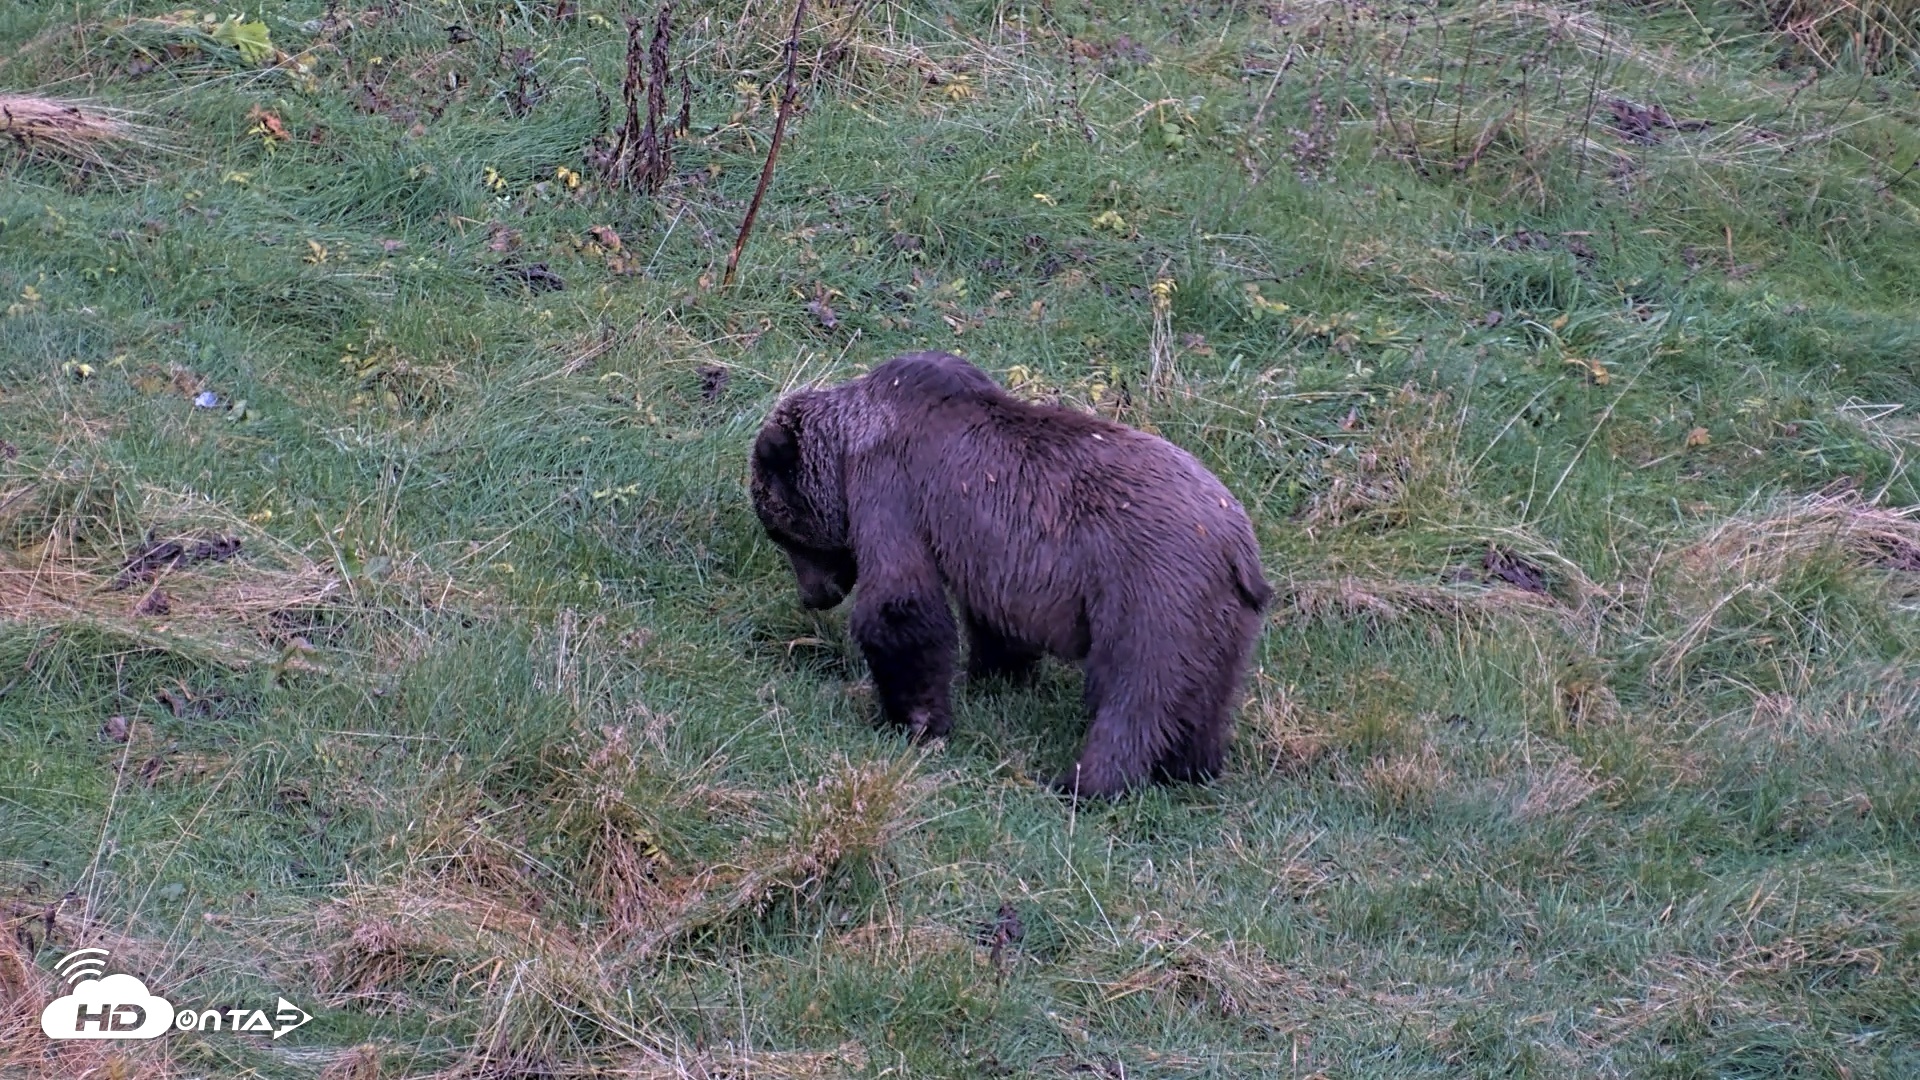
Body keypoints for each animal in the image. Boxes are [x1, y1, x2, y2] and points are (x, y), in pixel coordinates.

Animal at [749, 351, 1272, 799]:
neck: (847, 449)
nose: (814, 596)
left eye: (780, 531)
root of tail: (1235, 542)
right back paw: (1191, 767)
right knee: (1205, 695)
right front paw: (994, 676)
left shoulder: (891, 488)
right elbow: (995, 622)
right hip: (1223, 617)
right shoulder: (995, 560)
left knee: (1134, 688)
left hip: (1150, 588)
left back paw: (1085, 783)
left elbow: (899, 604)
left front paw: (916, 719)